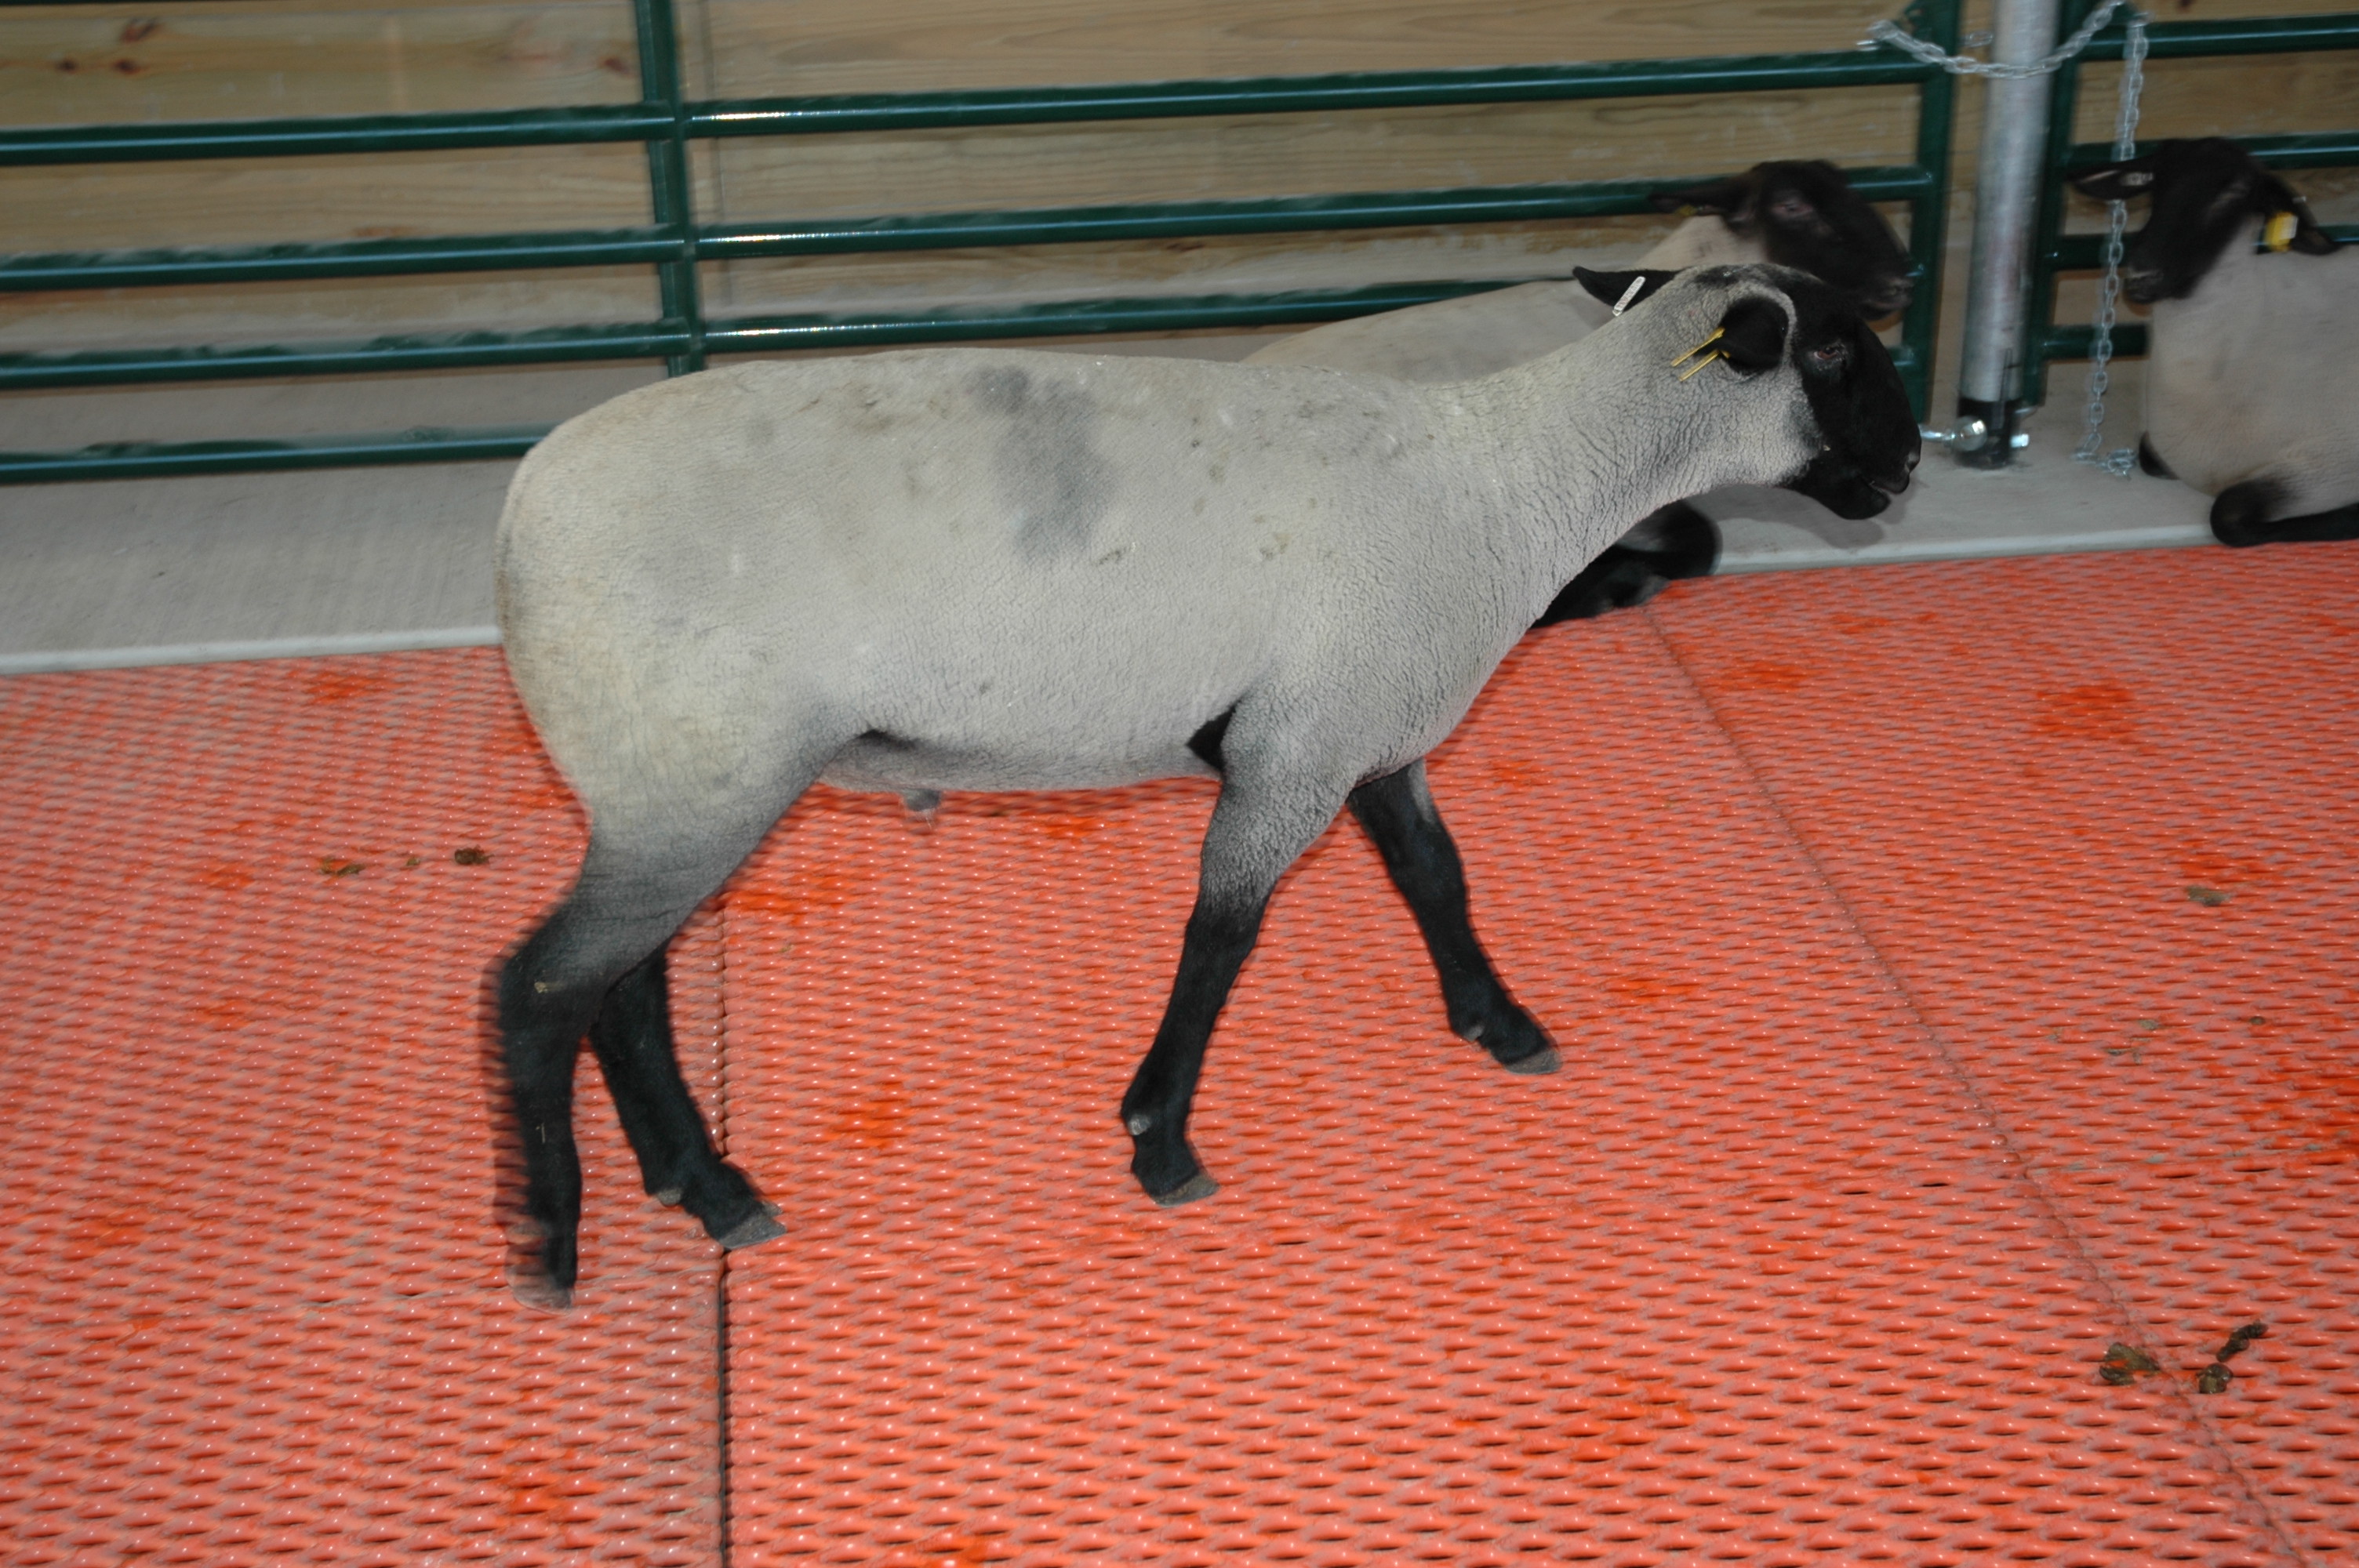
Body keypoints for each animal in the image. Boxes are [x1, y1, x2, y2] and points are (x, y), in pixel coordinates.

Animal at [491, 262, 1920, 1305]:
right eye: (1834, 357)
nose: (1907, 471)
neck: (1517, 484)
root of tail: (516, 523)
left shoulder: (1358, 727)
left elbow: (1434, 876)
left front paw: (1500, 1024)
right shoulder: (1294, 753)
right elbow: (1224, 935)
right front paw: (1160, 1139)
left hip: (672, 780)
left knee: (623, 988)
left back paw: (706, 1188)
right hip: (695, 773)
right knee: (544, 989)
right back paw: (556, 1243)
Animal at [2072, 138, 2353, 547]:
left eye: (2234, 191)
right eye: (2154, 182)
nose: (2142, 272)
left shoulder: (2332, 461)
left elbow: (2227, 516)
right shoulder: (2162, 445)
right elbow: (2148, 456)